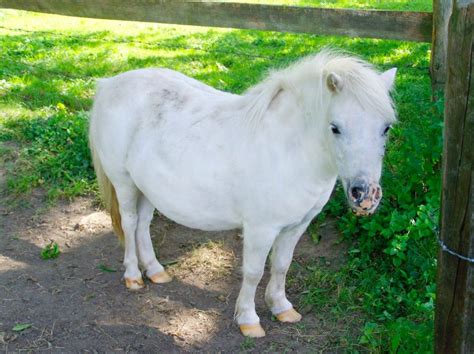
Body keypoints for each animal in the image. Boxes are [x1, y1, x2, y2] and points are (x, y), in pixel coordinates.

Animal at [89, 49, 396, 338]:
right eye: (335, 128)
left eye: (386, 127)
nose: (365, 195)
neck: (288, 149)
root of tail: (109, 84)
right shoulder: (261, 228)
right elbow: (253, 272)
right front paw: (249, 320)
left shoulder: (297, 225)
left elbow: (282, 265)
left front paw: (282, 308)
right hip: (125, 183)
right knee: (130, 224)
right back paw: (133, 276)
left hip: (147, 189)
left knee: (143, 225)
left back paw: (155, 271)